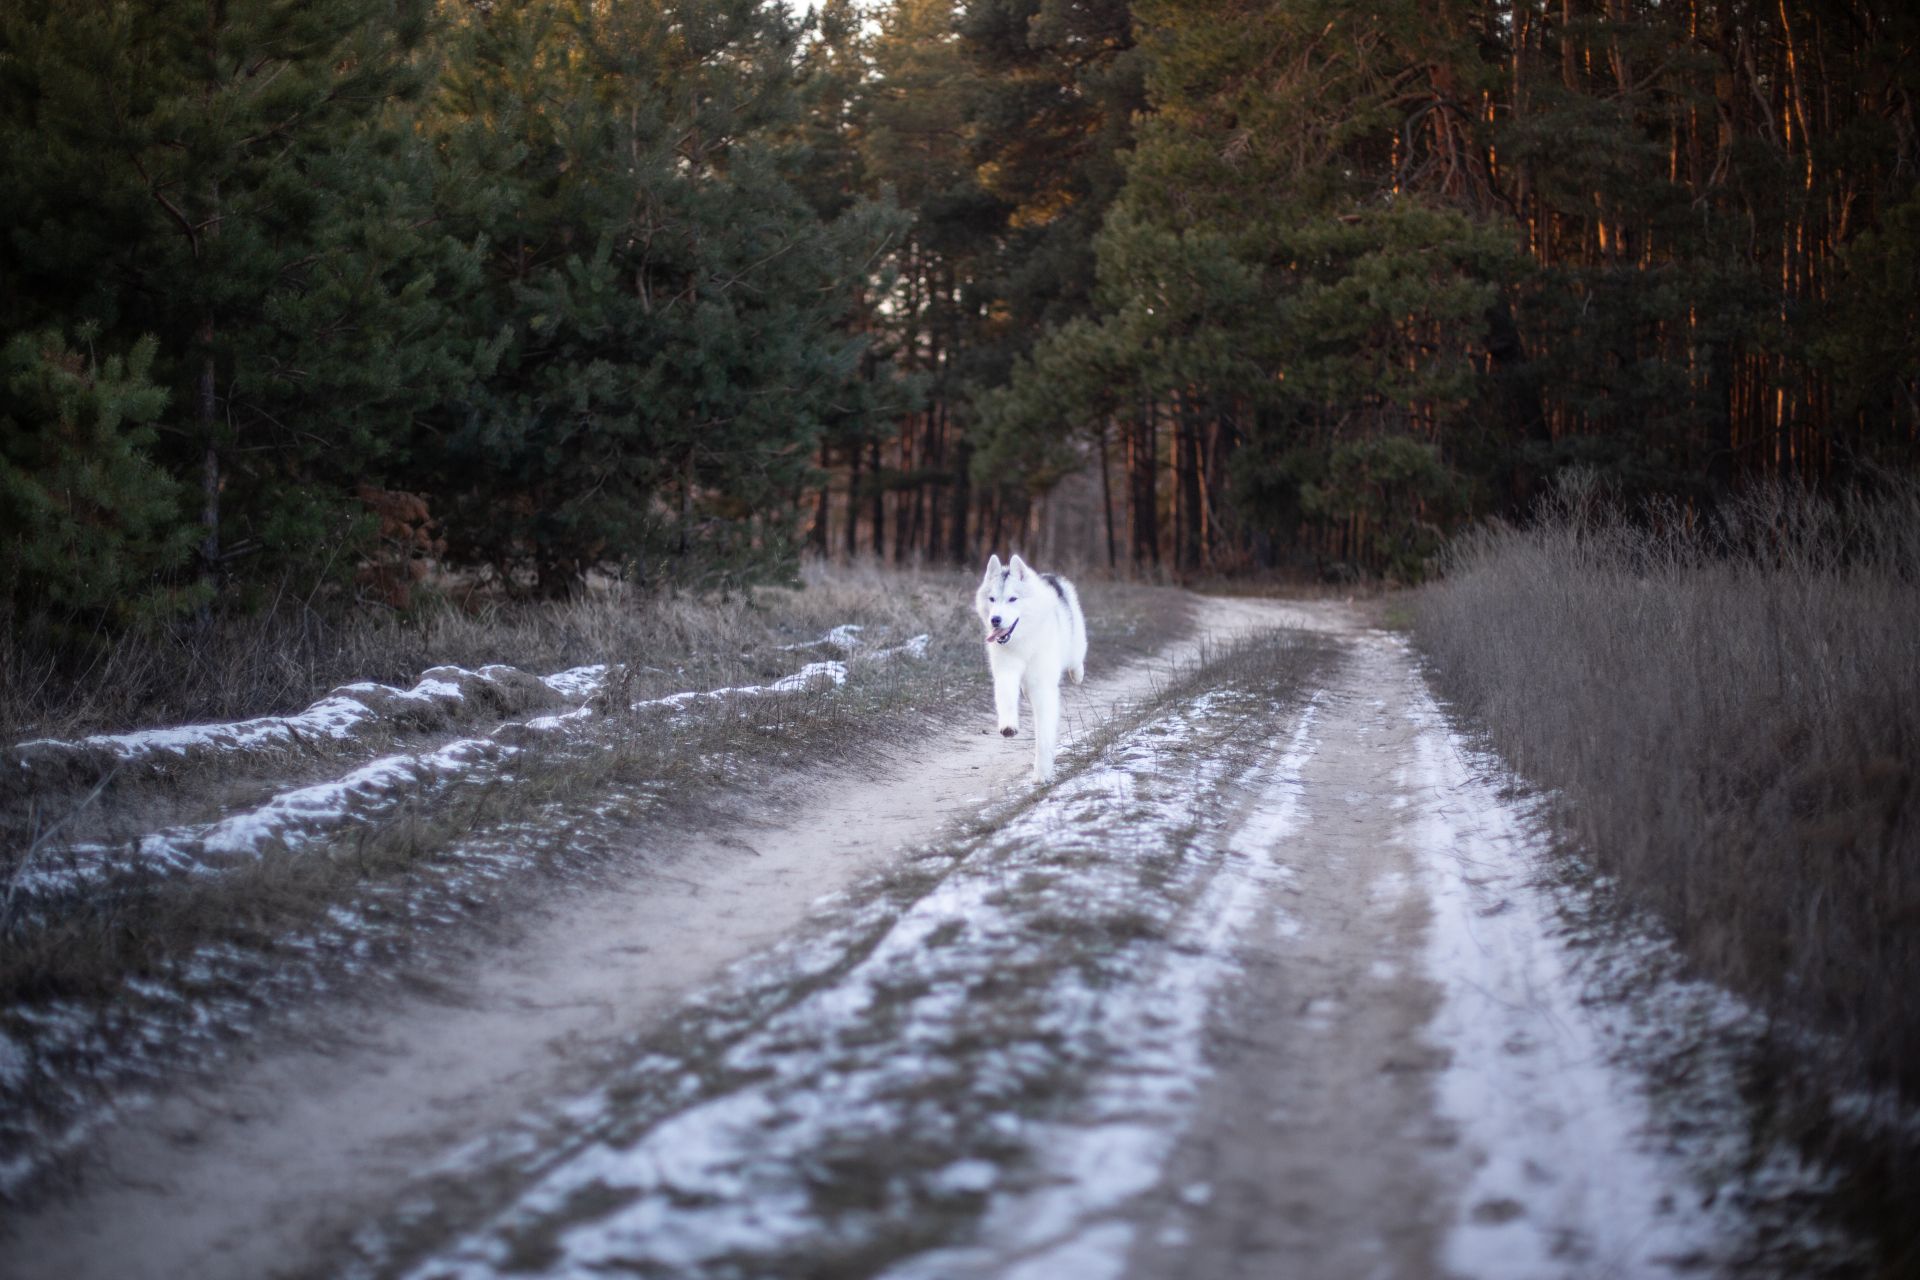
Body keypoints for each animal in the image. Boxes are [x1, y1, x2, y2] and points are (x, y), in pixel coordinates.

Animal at [975, 552, 1082, 782]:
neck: (1023, 640)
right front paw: (1008, 726)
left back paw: (1077, 674)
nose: (995, 619)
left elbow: (1043, 735)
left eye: (1012, 599)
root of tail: (1050, 576)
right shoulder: (1006, 672)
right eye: (992, 599)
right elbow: (1006, 699)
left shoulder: (1043, 688)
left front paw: (1042, 773)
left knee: (1077, 658)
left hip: (1075, 643)